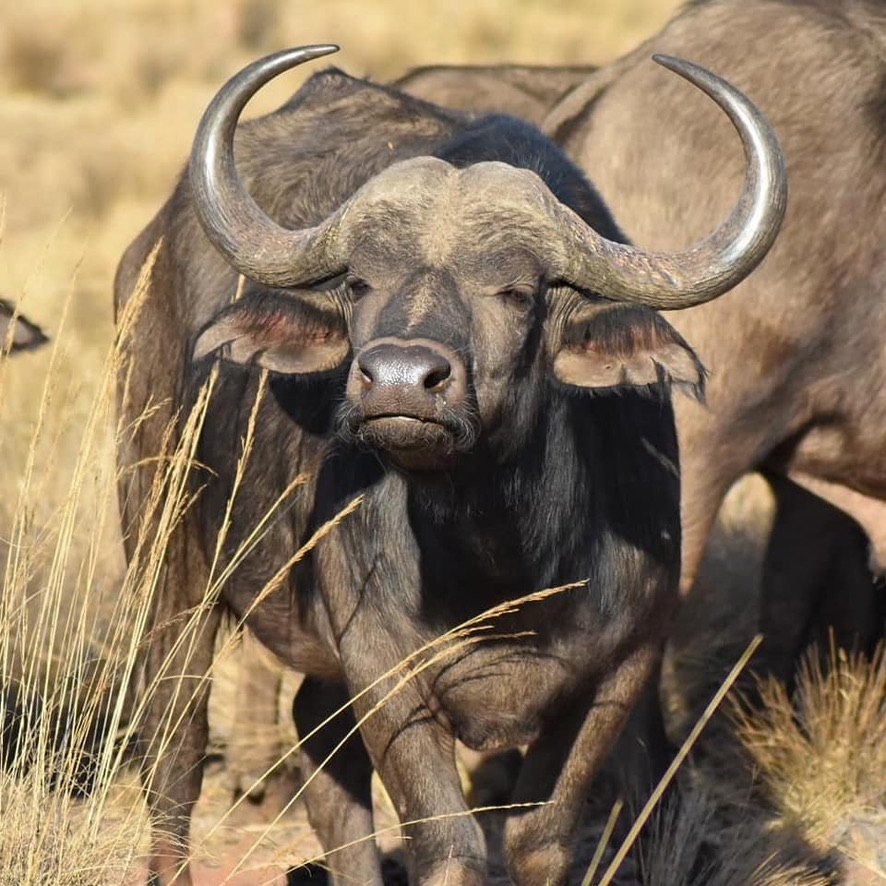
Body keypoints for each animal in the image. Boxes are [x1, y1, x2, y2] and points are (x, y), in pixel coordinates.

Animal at [115, 45, 785, 885]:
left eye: (517, 292)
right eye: (359, 283)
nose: (400, 379)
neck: (497, 565)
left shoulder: (619, 673)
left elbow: (540, 838)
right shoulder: (385, 672)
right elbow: (450, 845)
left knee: (319, 750)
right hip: (162, 542)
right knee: (176, 736)